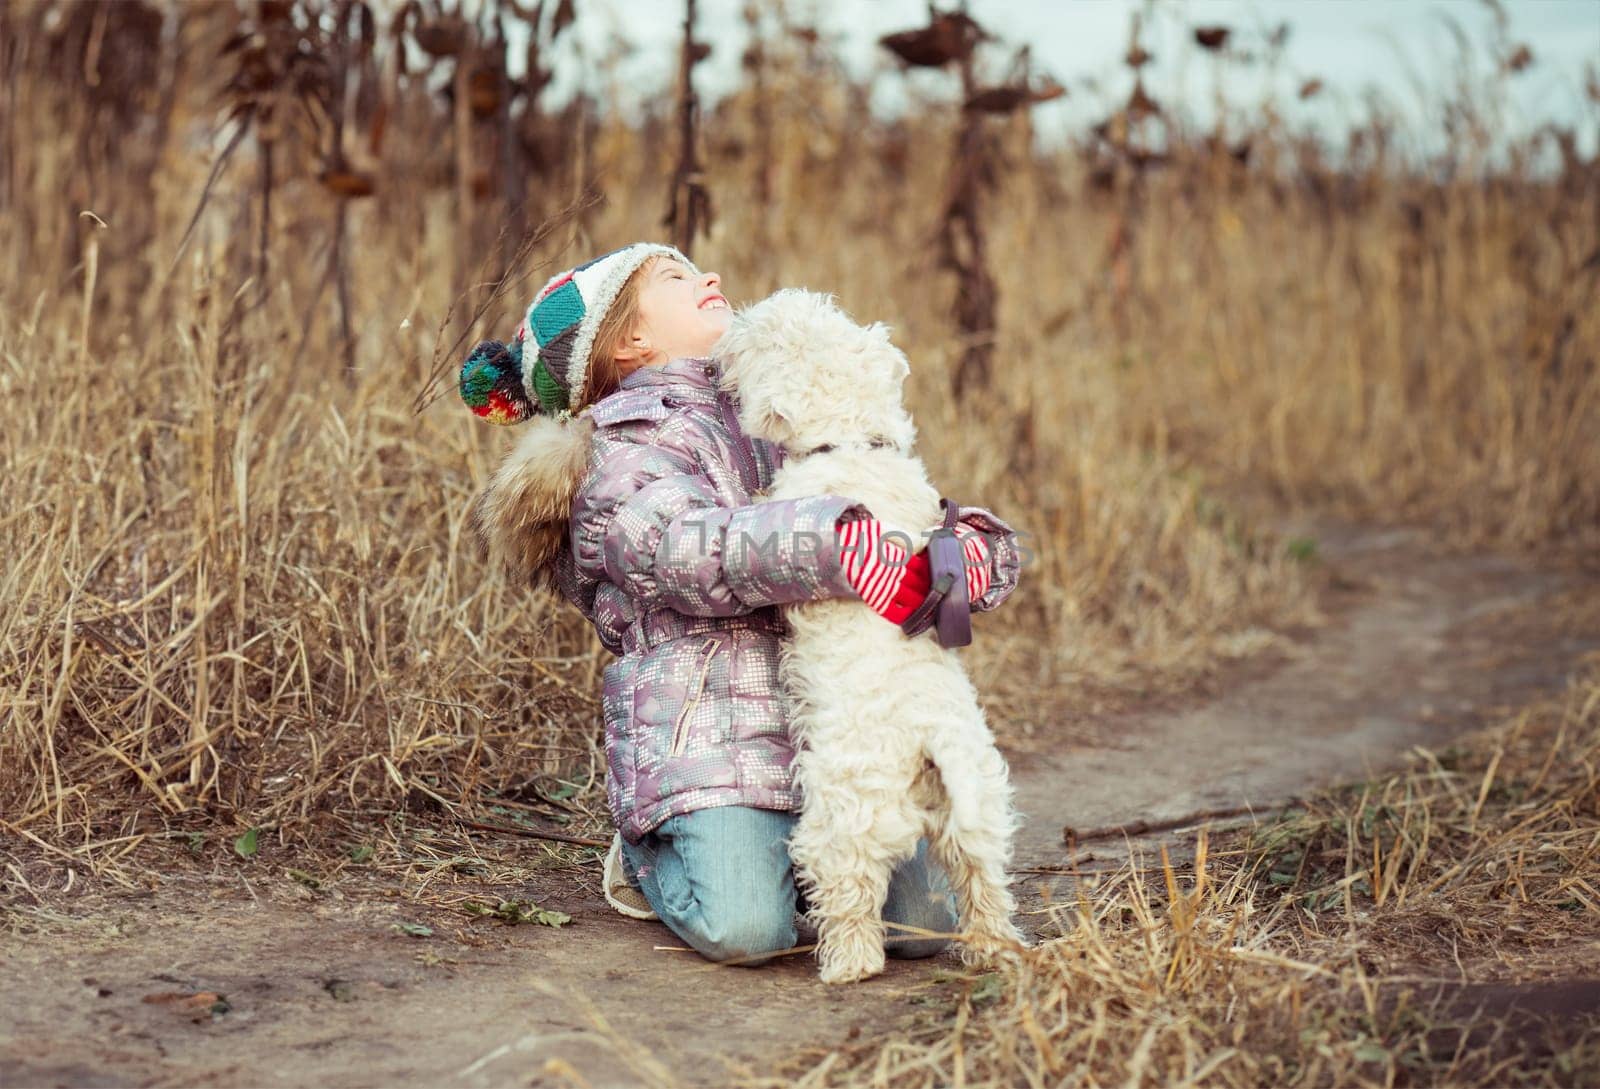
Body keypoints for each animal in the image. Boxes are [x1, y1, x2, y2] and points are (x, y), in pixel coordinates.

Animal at [713, 284, 1024, 978]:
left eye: (761, 337)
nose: (725, 336)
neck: (850, 443)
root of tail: (932, 742)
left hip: (843, 820)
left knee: (852, 899)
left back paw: (844, 964)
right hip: (978, 813)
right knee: (983, 884)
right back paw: (991, 950)